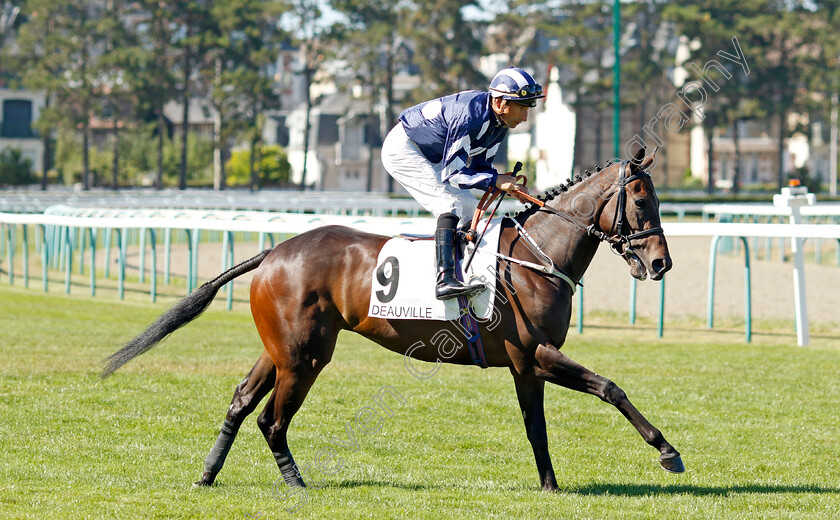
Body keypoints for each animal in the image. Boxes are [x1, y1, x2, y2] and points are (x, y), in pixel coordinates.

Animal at [103, 147, 684, 492]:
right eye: (641, 200)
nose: (661, 264)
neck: (531, 259)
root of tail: (274, 251)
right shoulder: (535, 353)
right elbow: (609, 387)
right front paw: (667, 451)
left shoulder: (525, 364)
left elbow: (536, 426)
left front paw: (549, 486)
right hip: (306, 356)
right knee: (272, 419)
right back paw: (295, 484)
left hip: (282, 349)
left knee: (242, 402)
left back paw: (207, 474)